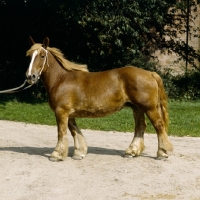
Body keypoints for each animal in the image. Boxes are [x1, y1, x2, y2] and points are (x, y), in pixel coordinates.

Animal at [25, 36, 173, 162]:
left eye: (42, 55)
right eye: (29, 56)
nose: (30, 76)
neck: (61, 79)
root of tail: (150, 73)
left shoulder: (61, 112)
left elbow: (62, 132)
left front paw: (57, 155)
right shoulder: (69, 114)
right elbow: (75, 131)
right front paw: (79, 152)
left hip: (149, 108)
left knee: (159, 126)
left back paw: (162, 153)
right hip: (137, 108)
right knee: (140, 127)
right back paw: (131, 152)